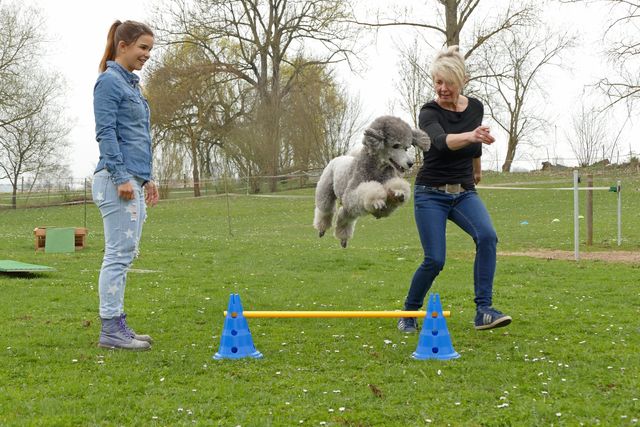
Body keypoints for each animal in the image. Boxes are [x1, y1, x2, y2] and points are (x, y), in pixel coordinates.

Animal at [313, 115, 431, 248]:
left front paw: (398, 193)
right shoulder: (351, 194)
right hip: (326, 188)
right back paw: (321, 229)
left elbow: (394, 191)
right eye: (395, 145)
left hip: (348, 208)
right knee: (325, 209)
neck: (377, 170)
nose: (410, 164)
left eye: (407, 147)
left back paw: (343, 239)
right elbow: (369, 192)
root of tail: (338, 158)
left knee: (344, 215)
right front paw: (377, 201)